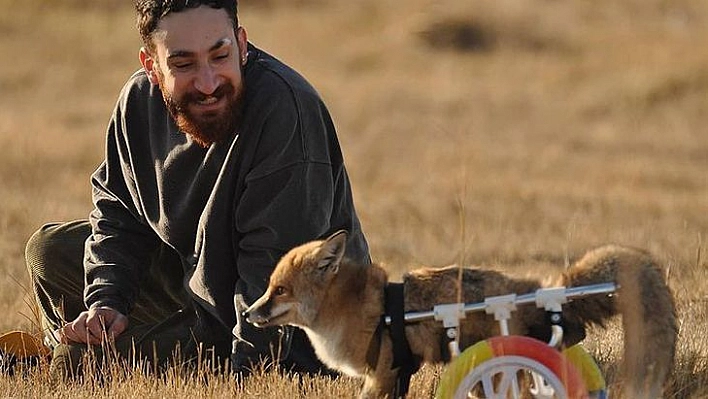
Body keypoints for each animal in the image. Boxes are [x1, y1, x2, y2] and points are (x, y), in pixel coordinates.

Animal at [246, 231, 676, 399]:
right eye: (269, 287)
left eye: (280, 290)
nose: (248, 313)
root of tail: (547, 287)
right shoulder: (394, 375)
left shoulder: (383, 374)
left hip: (498, 370)